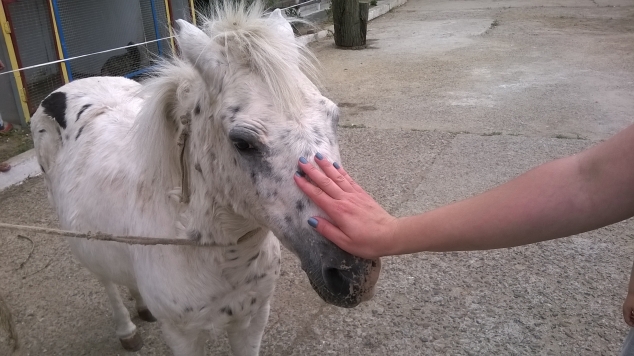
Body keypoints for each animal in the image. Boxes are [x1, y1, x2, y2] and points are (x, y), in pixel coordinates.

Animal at [30, 2, 380, 356]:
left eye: (333, 117)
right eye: (242, 142)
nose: (355, 274)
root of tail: (64, 90)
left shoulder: (252, 319)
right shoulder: (183, 336)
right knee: (105, 281)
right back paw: (127, 330)